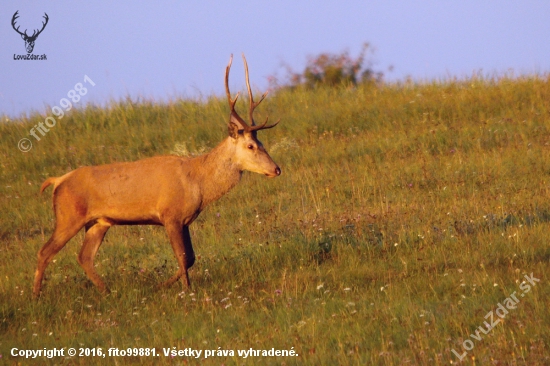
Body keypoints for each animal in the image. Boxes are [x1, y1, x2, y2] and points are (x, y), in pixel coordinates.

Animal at [34, 54, 282, 298]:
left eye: (261, 143)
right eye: (250, 145)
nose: (277, 169)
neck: (198, 183)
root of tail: (58, 181)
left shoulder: (184, 220)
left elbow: (191, 258)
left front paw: (166, 285)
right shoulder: (169, 215)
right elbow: (183, 257)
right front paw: (184, 290)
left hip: (98, 222)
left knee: (84, 257)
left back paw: (108, 291)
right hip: (68, 216)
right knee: (45, 251)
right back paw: (36, 296)